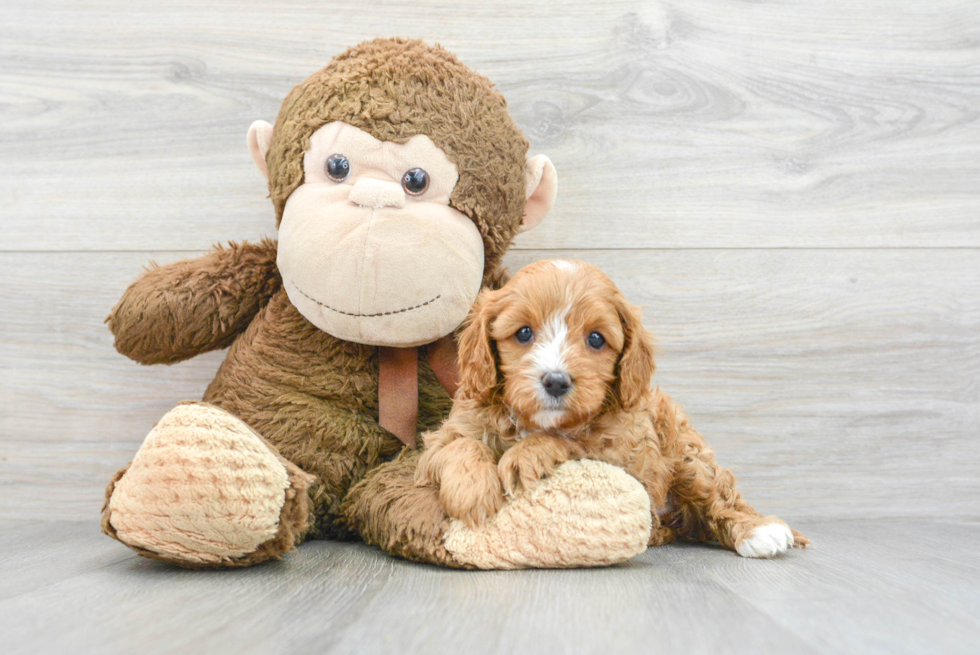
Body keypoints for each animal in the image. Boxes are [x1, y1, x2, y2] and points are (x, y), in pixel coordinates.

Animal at [418, 258, 808, 556]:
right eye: (524, 333)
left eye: (595, 339)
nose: (556, 381)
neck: (536, 421)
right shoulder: (448, 433)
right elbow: (461, 446)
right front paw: (473, 492)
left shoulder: (622, 454)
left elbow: (573, 441)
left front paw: (526, 455)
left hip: (689, 456)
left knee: (720, 497)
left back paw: (759, 531)